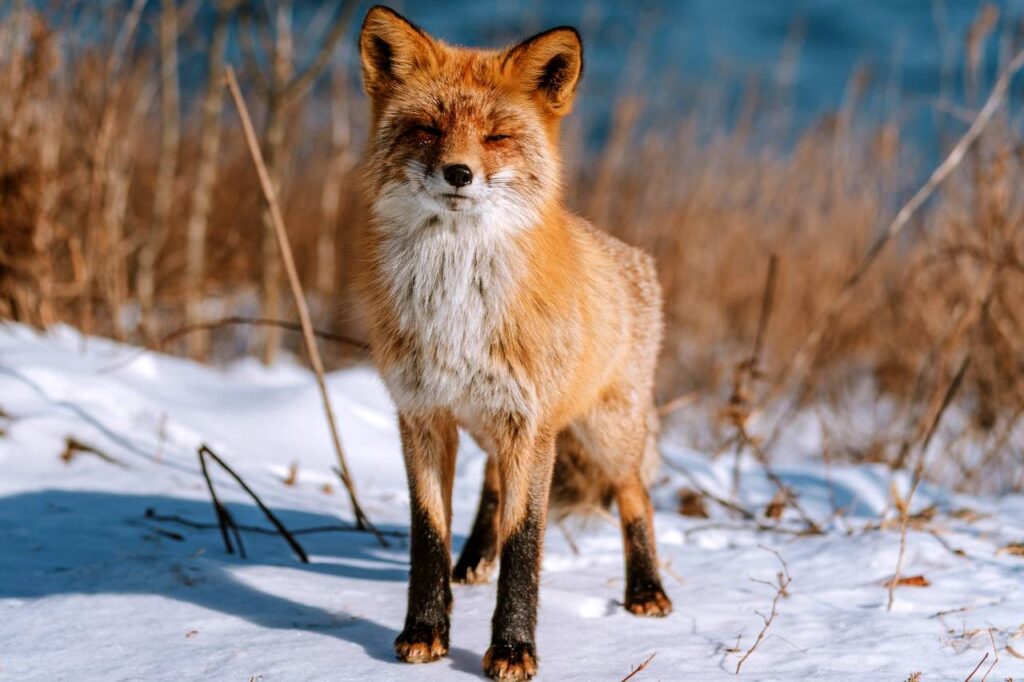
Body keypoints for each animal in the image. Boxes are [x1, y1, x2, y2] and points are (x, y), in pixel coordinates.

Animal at [356, 6, 672, 680]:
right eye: (427, 129)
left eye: (497, 137)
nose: (458, 173)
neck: (455, 305)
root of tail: (635, 258)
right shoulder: (423, 415)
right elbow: (428, 534)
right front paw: (424, 632)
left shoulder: (530, 425)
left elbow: (525, 542)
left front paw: (512, 649)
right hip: (489, 425)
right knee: (492, 486)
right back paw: (475, 559)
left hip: (605, 433)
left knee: (636, 496)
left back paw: (646, 590)